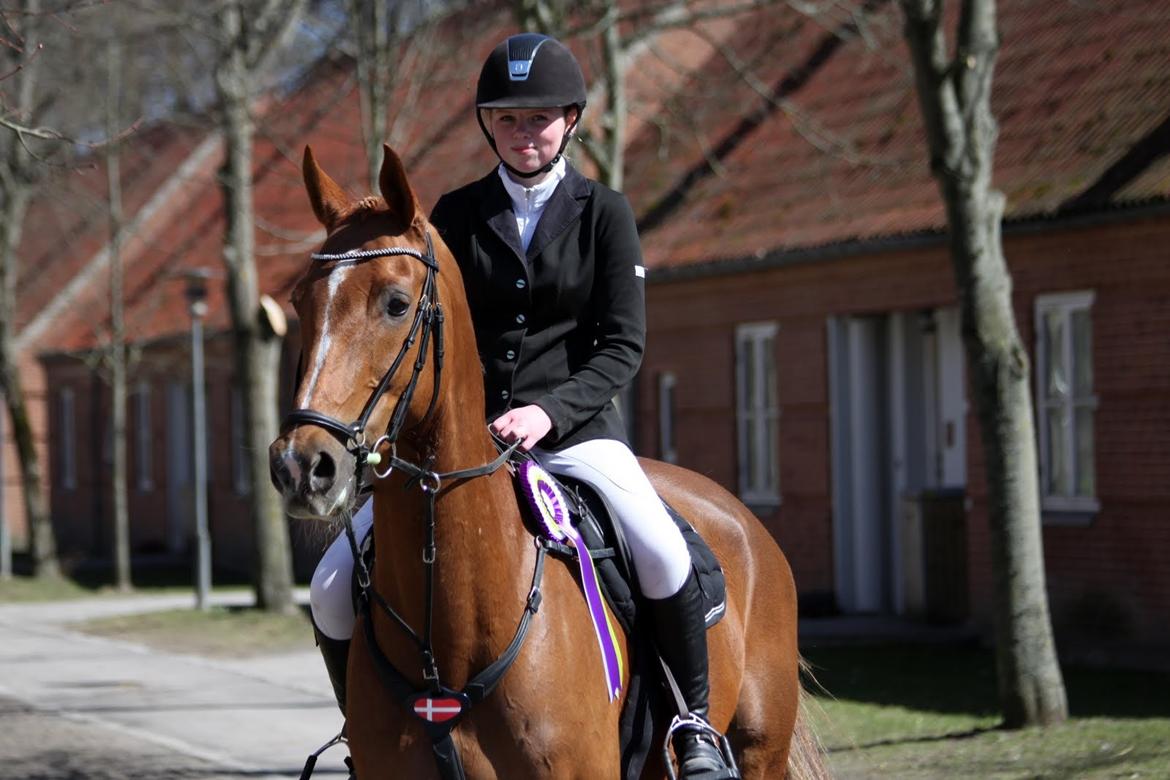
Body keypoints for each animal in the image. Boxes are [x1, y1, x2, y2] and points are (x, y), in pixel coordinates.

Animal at [270, 143, 828, 776]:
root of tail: (740, 516)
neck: (450, 642)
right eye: (299, 302)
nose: (301, 466)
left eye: (396, 303)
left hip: (760, 748)